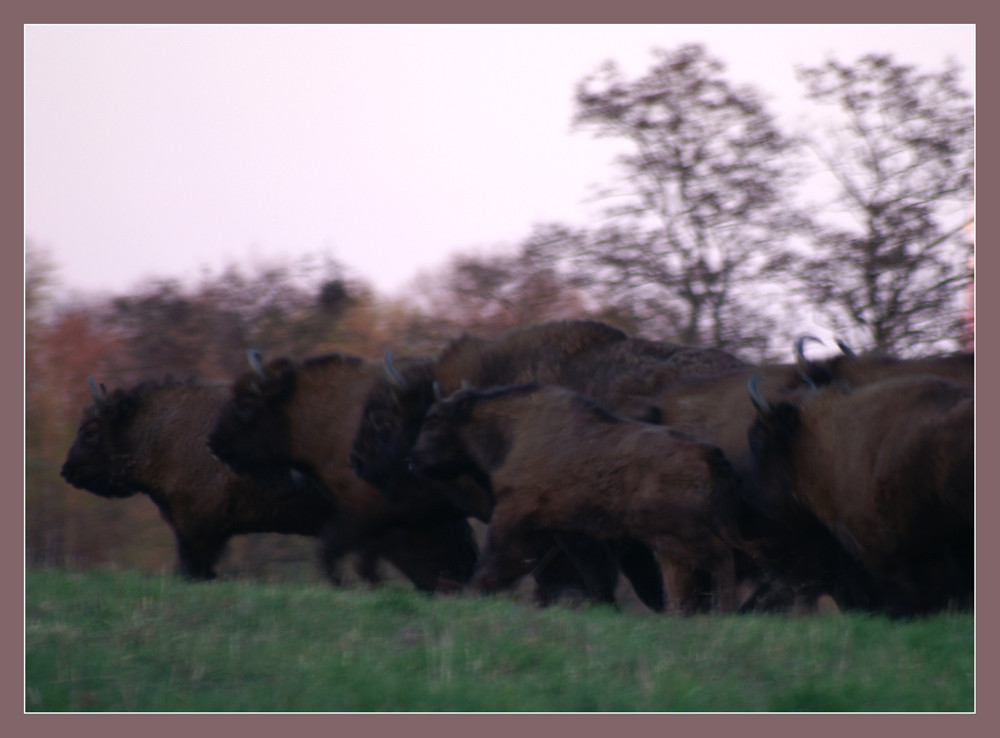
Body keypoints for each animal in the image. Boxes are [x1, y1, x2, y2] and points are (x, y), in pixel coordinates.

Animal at [406, 382, 744, 612]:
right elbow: (594, 577)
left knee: (723, 559)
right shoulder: (567, 531)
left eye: (432, 422)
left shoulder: (514, 518)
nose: (414, 460)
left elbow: (494, 564)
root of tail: (710, 455)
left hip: (677, 533)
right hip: (670, 544)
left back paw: (724, 611)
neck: (508, 433)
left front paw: (470, 594)